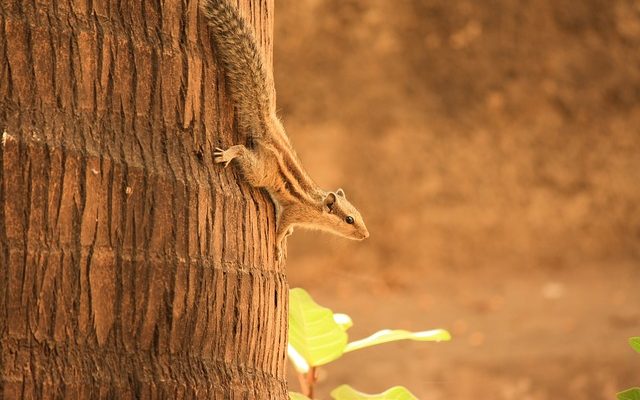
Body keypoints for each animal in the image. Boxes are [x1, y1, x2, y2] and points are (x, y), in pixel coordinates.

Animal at [202, 0, 368, 260]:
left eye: (359, 215)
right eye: (349, 219)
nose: (366, 235)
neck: (315, 206)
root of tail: (269, 125)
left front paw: (288, 236)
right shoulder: (294, 211)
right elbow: (281, 226)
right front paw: (279, 245)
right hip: (261, 171)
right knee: (243, 151)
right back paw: (228, 153)